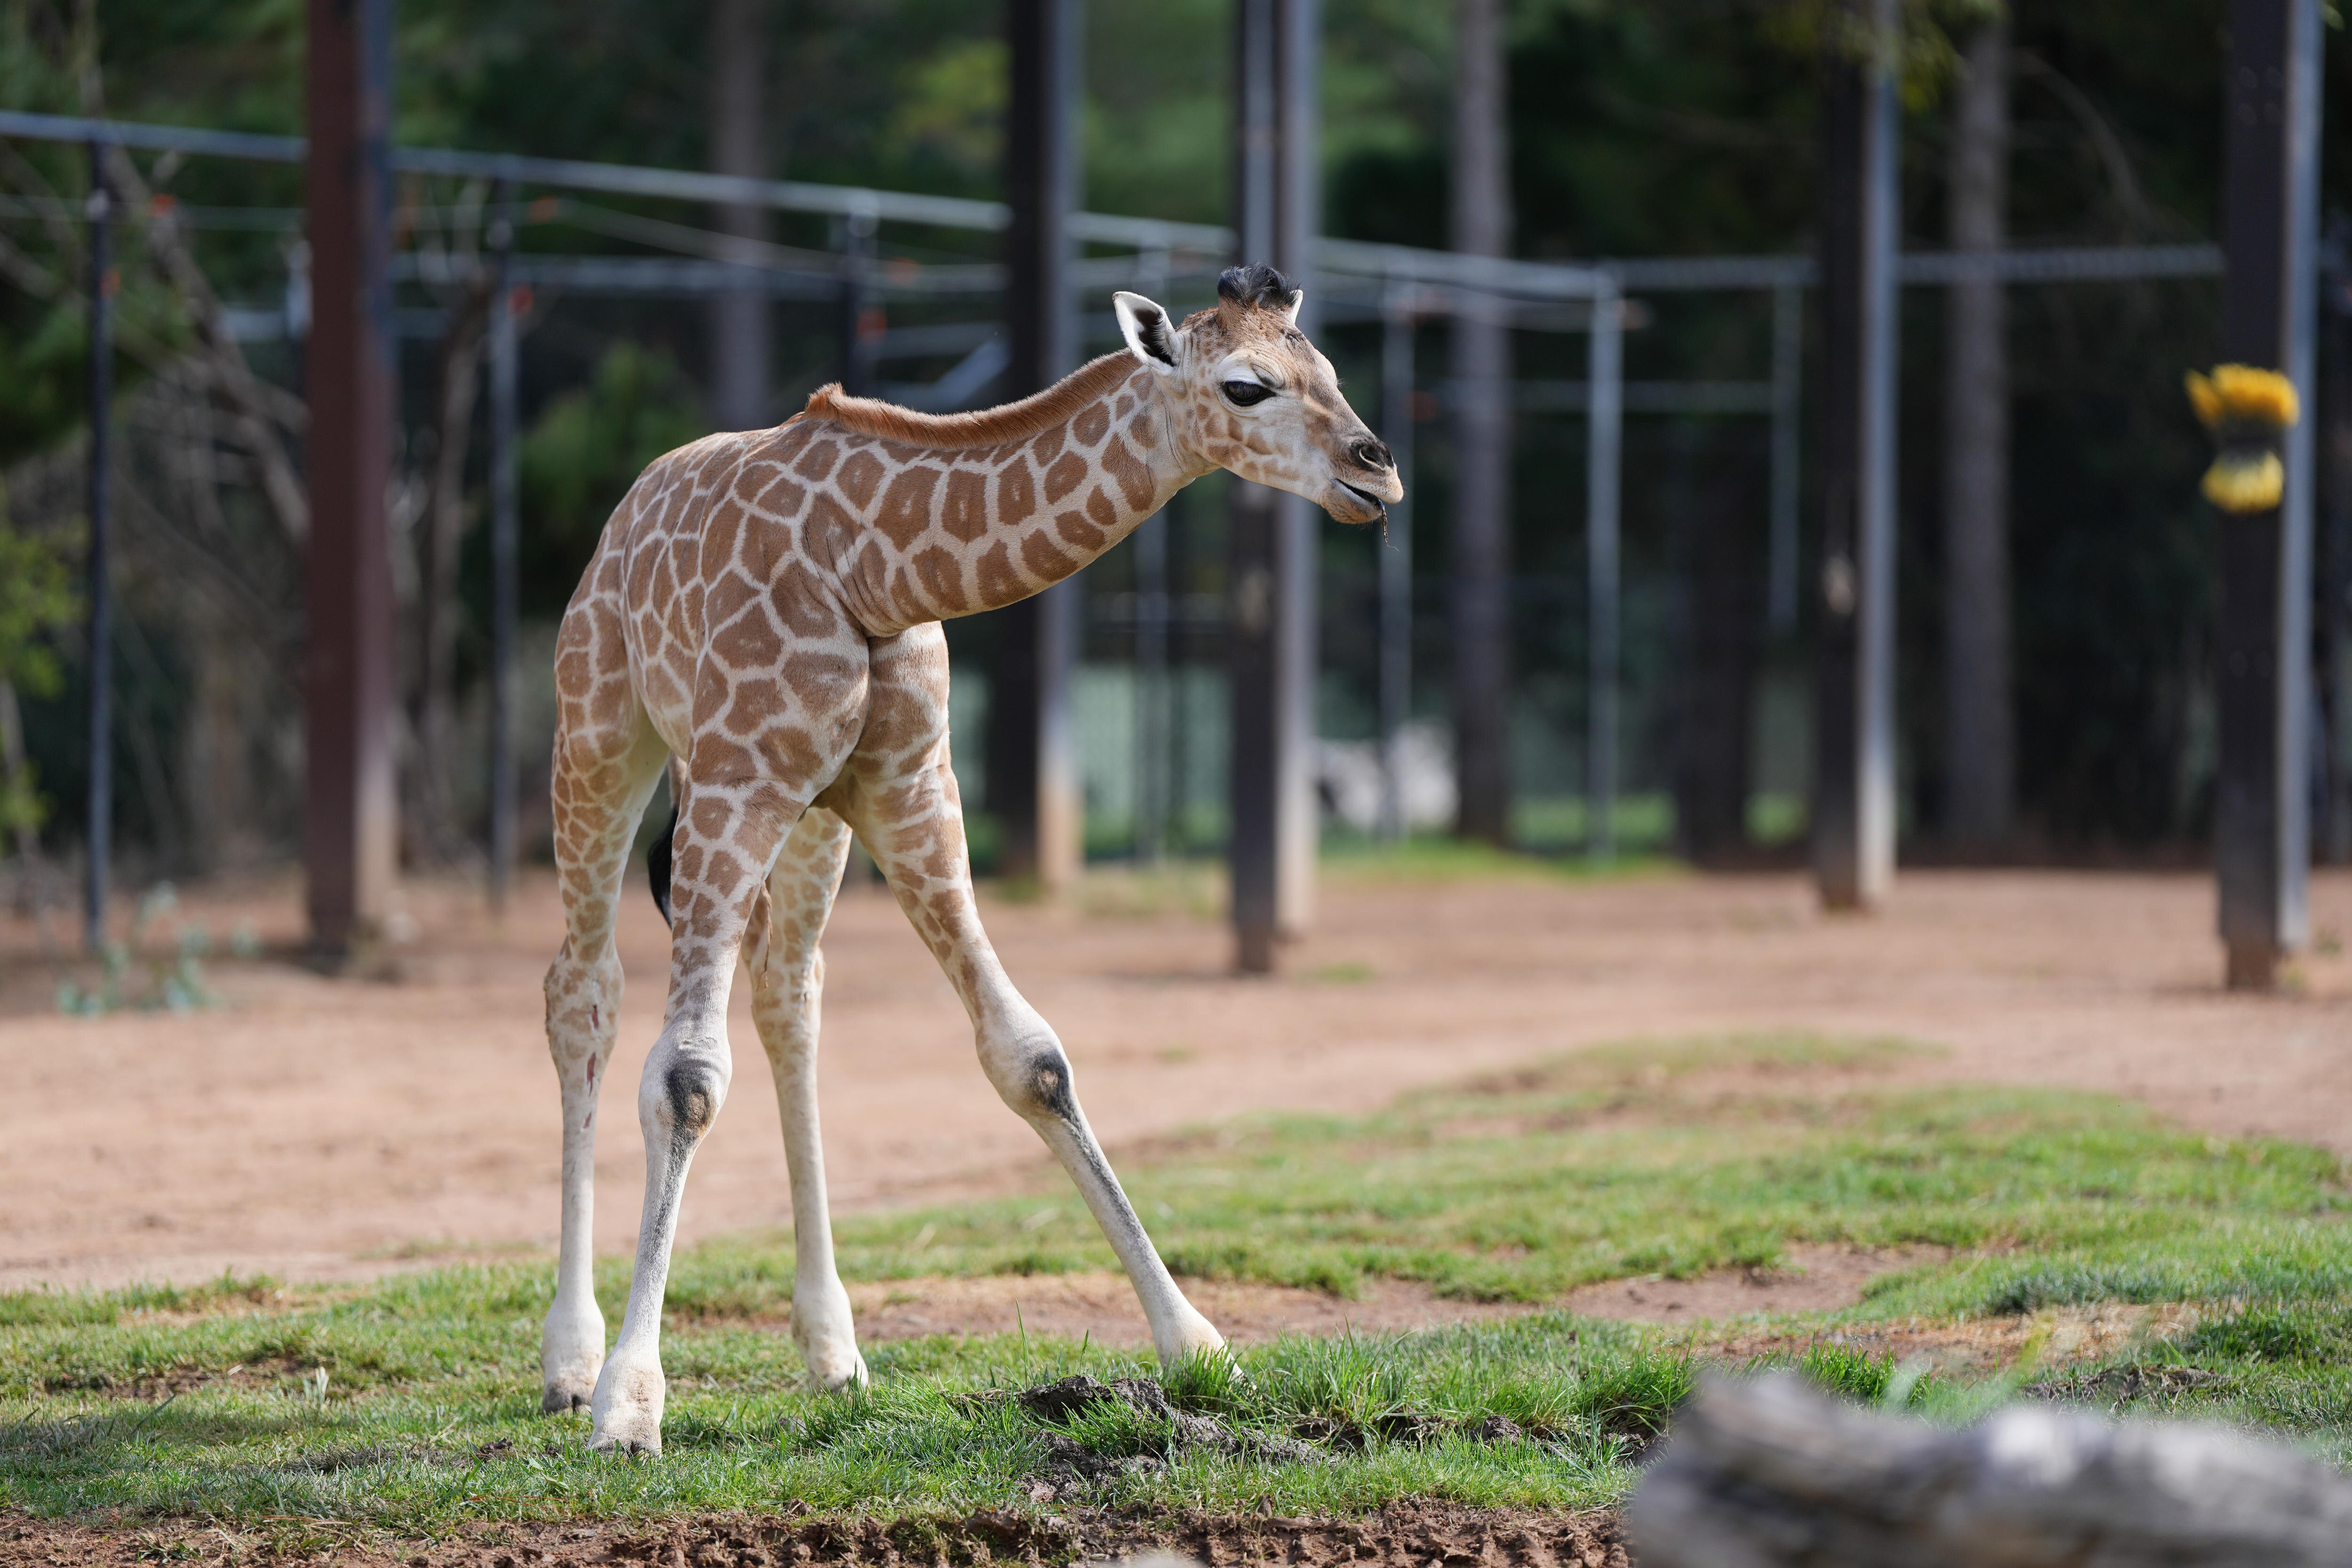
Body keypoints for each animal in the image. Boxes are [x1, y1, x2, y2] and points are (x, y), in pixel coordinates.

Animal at [537, 263, 1401, 1455]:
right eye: (1245, 386)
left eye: (1328, 368)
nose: (1378, 470)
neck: (874, 572)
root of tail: (619, 519)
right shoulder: (733, 784)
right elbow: (686, 1078)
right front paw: (627, 1404)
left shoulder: (913, 791)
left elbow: (1030, 1056)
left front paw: (1196, 1345)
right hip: (602, 738)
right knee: (584, 992)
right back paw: (569, 1361)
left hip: (816, 822)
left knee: (789, 997)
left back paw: (834, 1352)